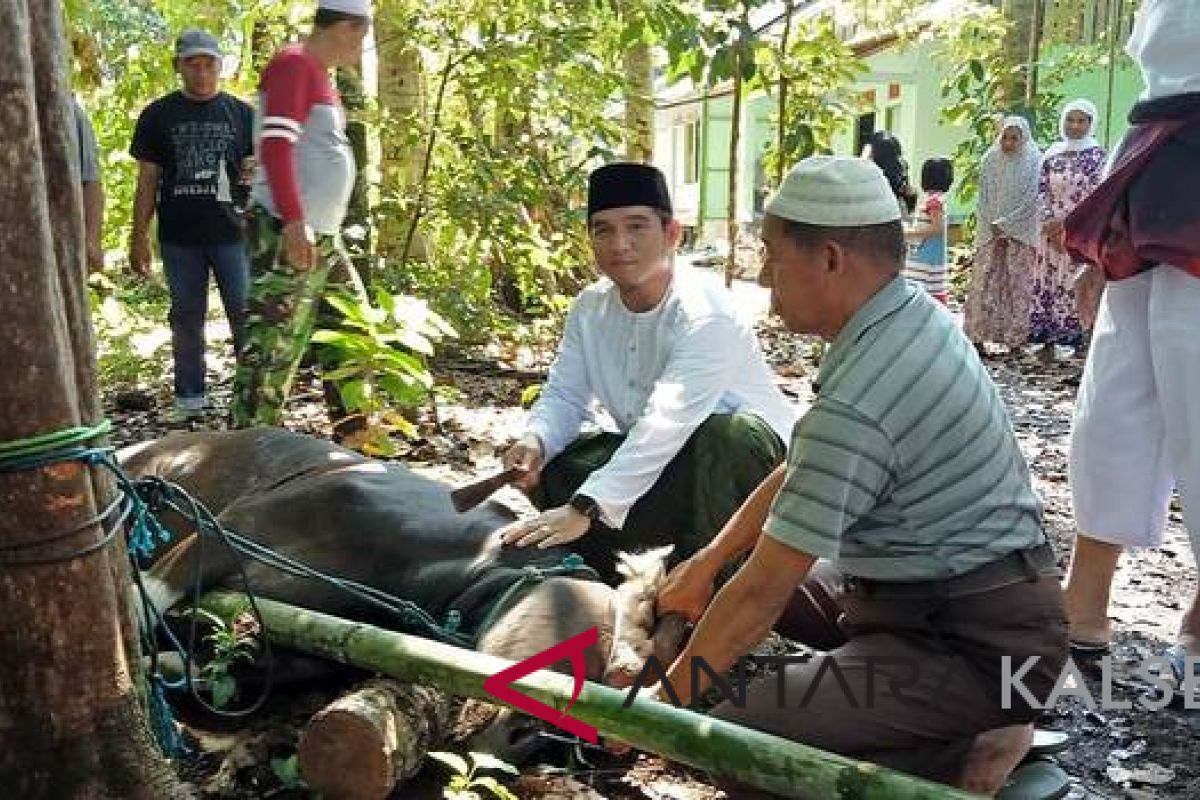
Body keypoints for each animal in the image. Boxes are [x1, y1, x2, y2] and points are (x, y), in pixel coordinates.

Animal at [121, 429, 686, 762]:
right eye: (609, 657)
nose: (521, 739)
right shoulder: (236, 524)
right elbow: (149, 595)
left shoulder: (307, 649)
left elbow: (232, 673)